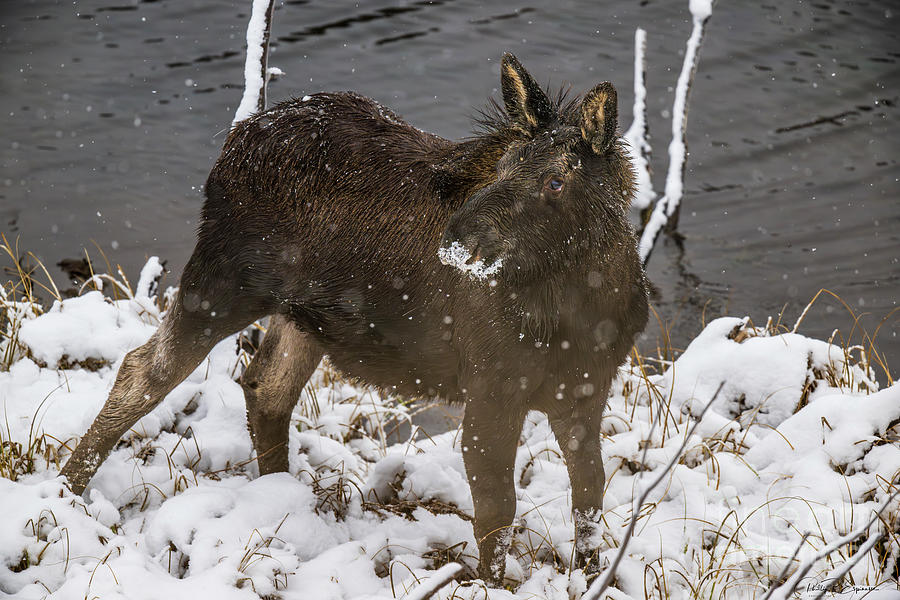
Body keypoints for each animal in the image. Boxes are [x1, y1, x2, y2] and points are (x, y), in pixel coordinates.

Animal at [65, 54, 652, 584]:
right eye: (505, 166)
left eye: (555, 181)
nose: (457, 239)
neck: (581, 313)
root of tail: (234, 140)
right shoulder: (492, 387)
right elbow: (496, 509)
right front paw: (492, 582)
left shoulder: (586, 390)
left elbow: (590, 493)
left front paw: (592, 573)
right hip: (221, 282)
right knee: (143, 369)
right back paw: (69, 491)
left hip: (304, 318)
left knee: (265, 386)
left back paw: (278, 496)